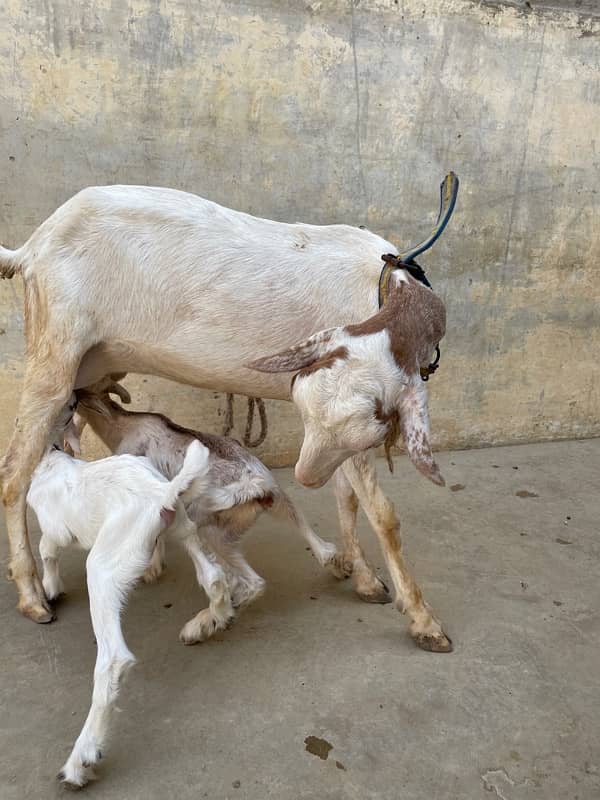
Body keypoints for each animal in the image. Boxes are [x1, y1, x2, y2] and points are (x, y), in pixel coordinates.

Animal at [26, 406, 227, 788]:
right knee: (215, 579)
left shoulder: (56, 528)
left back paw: (81, 759)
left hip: (102, 570)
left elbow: (46, 547)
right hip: (183, 529)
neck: (53, 459)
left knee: (113, 660)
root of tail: (161, 492)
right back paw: (206, 623)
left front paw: (51, 588)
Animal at [72, 378, 346, 648]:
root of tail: (257, 487)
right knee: (321, 548)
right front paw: (154, 567)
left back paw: (204, 623)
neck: (121, 425)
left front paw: (152, 568)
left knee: (250, 583)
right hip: (278, 506)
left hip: (208, 529)